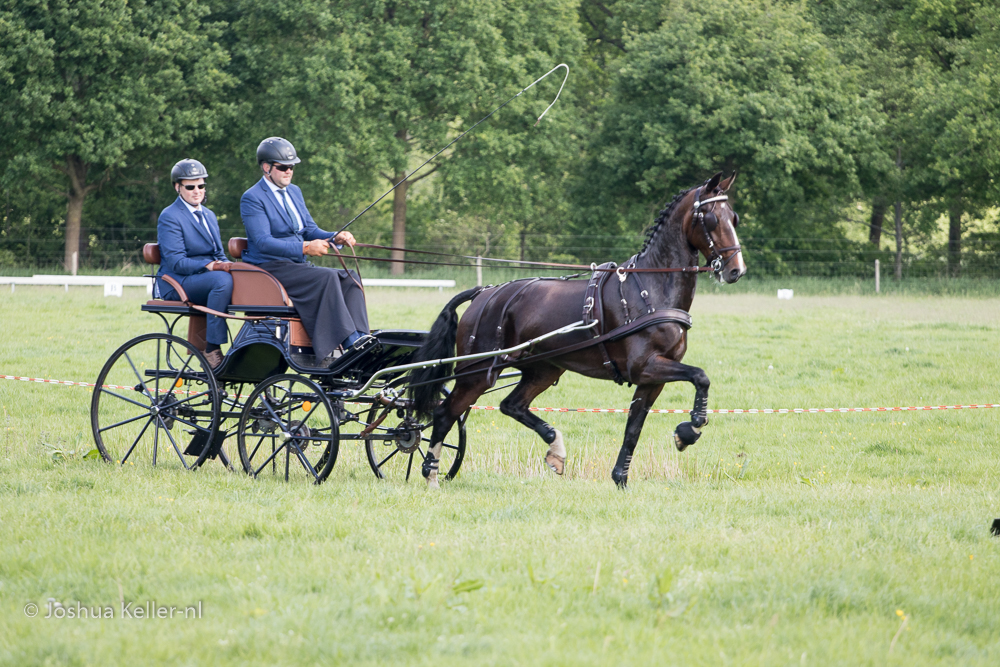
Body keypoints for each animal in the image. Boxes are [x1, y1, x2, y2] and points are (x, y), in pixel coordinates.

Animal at [406, 172, 744, 488]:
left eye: (734, 218)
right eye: (712, 218)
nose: (735, 270)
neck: (651, 288)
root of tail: (483, 293)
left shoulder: (652, 378)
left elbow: (633, 427)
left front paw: (621, 478)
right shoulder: (645, 367)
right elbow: (701, 376)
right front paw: (691, 429)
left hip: (543, 369)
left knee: (511, 405)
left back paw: (555, 449)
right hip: (476, 373)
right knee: (445, 414)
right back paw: (431, 473)